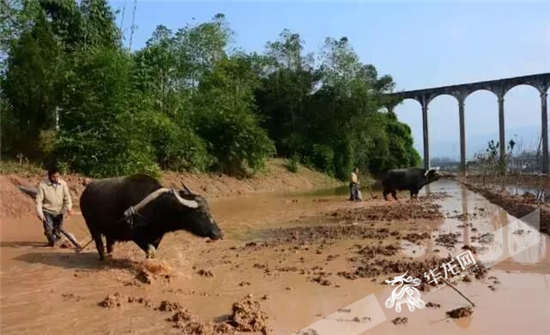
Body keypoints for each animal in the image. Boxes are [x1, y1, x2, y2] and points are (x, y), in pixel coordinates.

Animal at [81, 175, 223, 262]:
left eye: (209, 210)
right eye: (201, 212)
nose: (218, 233)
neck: (157, 208)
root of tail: (84, 193)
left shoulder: (157, 237)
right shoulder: (137, 236)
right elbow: (151, 251)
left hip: (110, 232)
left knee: (110, 244)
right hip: (92, 227)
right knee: (99, 245)